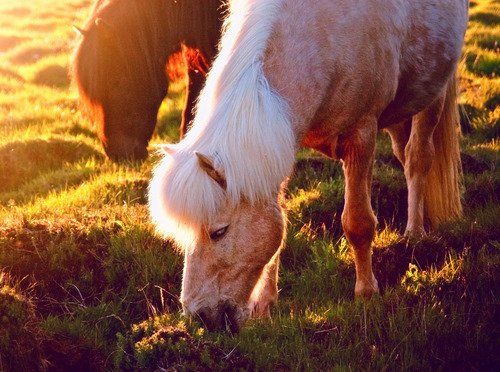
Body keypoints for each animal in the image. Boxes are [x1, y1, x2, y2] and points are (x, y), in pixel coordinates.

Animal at [148, 0, 468, 332]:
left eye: (219, 232)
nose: (201, 317)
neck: (320, 37)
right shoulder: (284, 143)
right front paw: (265, 305)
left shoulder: (362, 133)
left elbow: (358, 223)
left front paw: (366, 294)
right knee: (402, 155)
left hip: (433, 95)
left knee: (418, 159)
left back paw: (414, 234)